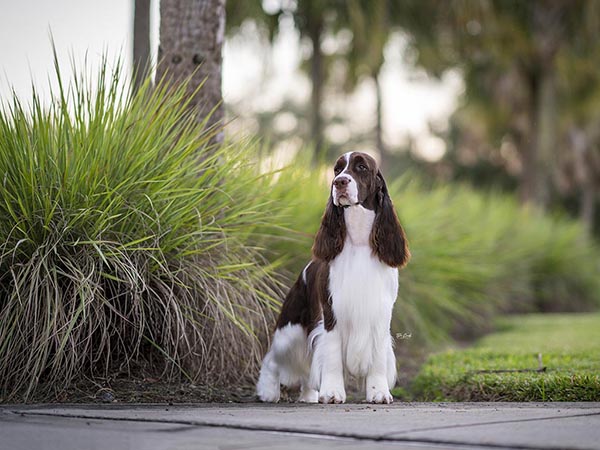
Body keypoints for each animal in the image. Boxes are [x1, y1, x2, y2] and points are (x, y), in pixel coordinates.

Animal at [255, 151, 410, 404]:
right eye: (337, 170)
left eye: (361, 167)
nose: (339, 182)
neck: (358, 241)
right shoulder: (331, 312)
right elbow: (332, 354)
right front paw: (332, 392)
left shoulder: (381, 312)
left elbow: (377, 357)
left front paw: (379, 392)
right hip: (289, 330)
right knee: (272, 359)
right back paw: (268, 392)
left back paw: (308, 395)